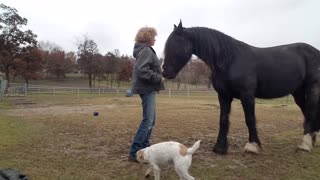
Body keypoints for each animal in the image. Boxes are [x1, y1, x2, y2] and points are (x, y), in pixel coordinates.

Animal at [164, 20, 320, 154]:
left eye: (174, 45)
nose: (165, 72)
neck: (230, 60)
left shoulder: (247, 95)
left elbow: (249, 119)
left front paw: (252, 146)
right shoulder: (224, 96)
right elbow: (223, 119)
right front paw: (220, 148)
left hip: (313, 89)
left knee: (311, 112)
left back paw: (305, 144)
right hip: (298, 93)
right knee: (307, 112)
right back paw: (314, 139)